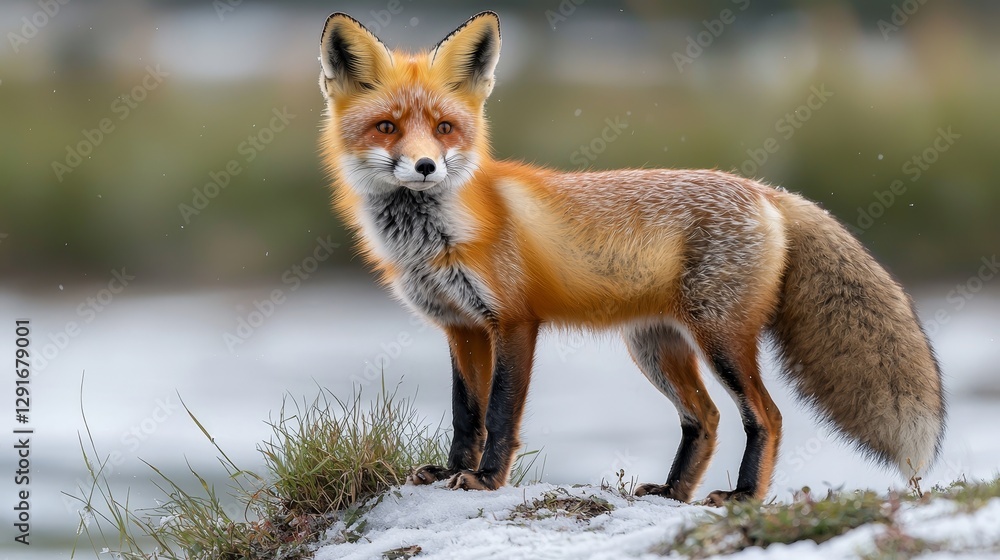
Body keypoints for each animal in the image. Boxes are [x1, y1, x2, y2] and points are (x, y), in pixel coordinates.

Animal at [316, 11, 945, 504]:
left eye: (445, 128)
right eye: (386, 127)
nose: (425, 166)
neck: (438, 234)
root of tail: (765, 190)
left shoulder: (514, 322)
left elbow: (498, 415)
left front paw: (487, 481)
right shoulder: (461, 327)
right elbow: (464, 414)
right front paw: (452, 471)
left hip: (720, 337)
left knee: (765, 415)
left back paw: (742, 495)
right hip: (654, 345)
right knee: (706, 418)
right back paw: (672, 492)